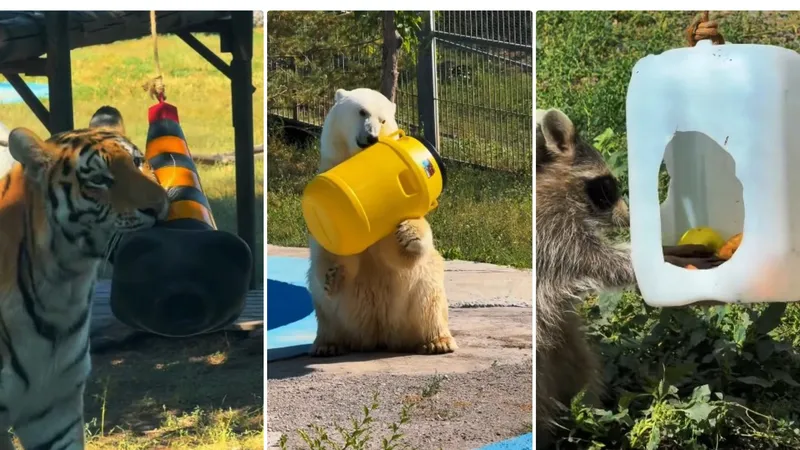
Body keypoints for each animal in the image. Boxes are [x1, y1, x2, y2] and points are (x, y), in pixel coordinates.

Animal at [307, 87, 457, 356]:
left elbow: (397, 253)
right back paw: (327, 345)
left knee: (429, 295)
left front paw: (409, 234)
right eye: (362, 111)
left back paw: (438, 341)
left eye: (384, 119)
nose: (372, 137)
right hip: (335, 312)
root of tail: (378, 335)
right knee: (325, 310)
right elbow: (331, 251)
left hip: (418, 297)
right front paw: (332, 277)